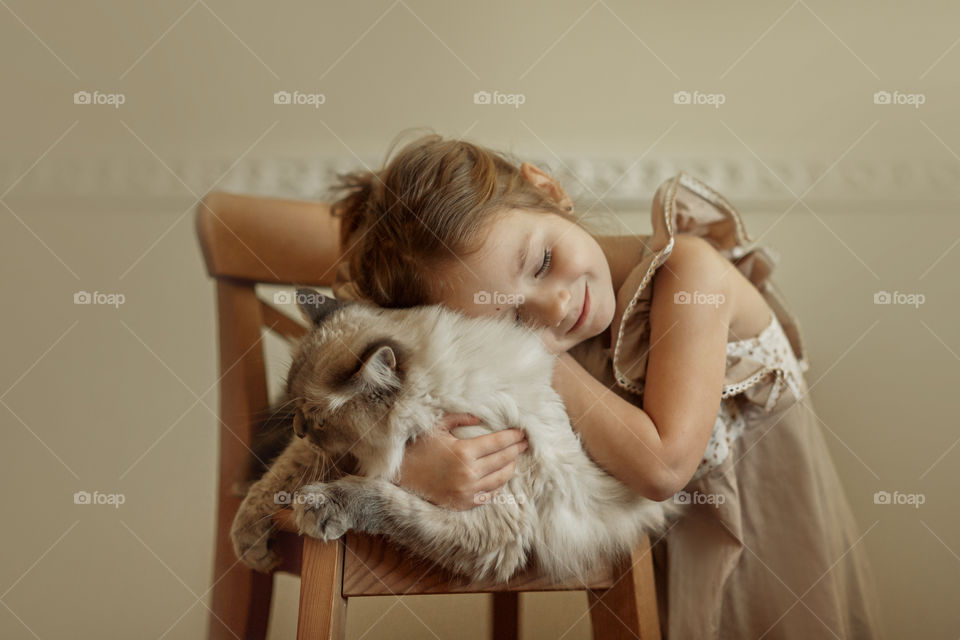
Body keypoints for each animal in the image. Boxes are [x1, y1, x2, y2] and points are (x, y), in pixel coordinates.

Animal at [232, 290, 684, 584]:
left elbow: (383, 499)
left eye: (317, 420)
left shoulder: (494, 526)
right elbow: (274, 481)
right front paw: (250, 544)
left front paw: (321, 504)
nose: (297, 428)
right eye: (296, 409)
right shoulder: (332, 453)